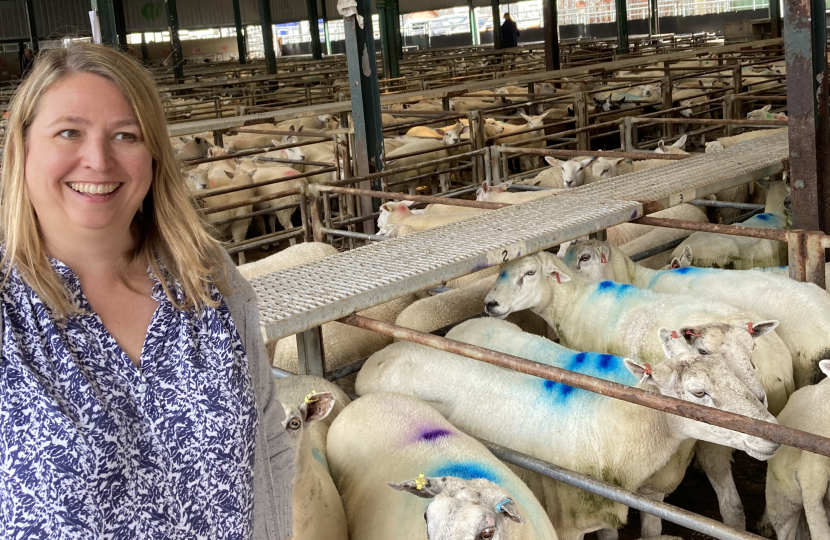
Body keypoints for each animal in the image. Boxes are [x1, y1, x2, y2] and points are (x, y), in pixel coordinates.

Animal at [358, 316, 780, 540]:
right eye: (698, 392)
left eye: (740, 367)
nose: (773, 432)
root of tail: (384, 354)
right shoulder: (570, 521)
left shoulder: (632, 501)